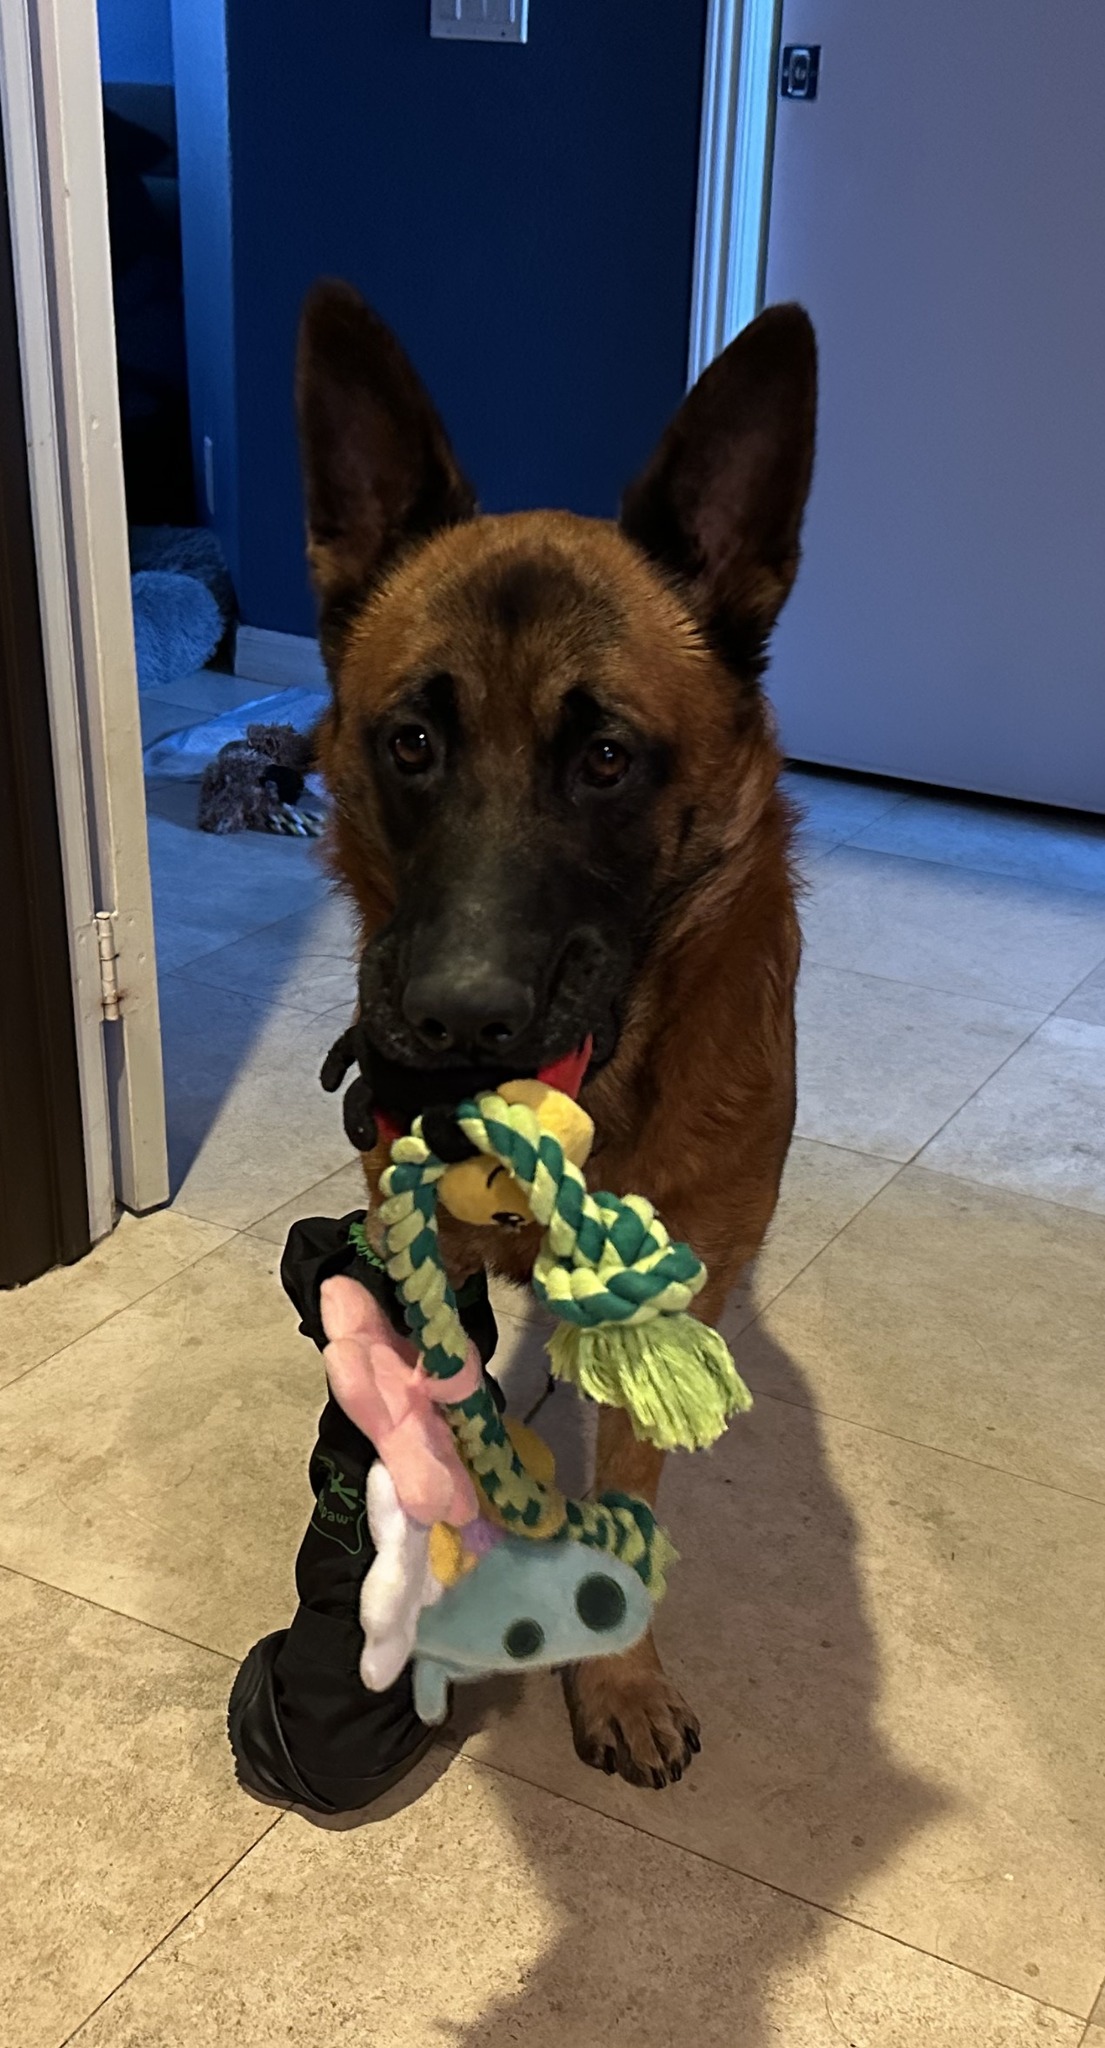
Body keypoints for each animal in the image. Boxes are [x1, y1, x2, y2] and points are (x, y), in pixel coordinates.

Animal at [298, 284, 814, 1794]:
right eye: (411, 741)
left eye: (605, 759)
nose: (450, 1031)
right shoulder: (416, 1270)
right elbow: (430, 1430)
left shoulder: (666, 1311)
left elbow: (629, 1482)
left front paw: (618, 1677)